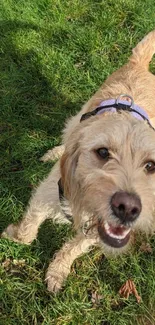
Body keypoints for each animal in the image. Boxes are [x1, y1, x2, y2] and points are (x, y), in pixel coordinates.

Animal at [1, 31, 155, 292]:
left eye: (150, 166)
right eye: (102, 152)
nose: (128, 208)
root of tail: (140, 66)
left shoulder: (95, 230)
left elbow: (73, 249)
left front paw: (57, 271)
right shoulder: (46, 194)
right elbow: (28, 230)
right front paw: (13, 234)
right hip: (79, 114)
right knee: (69, 133)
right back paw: (55, 152)